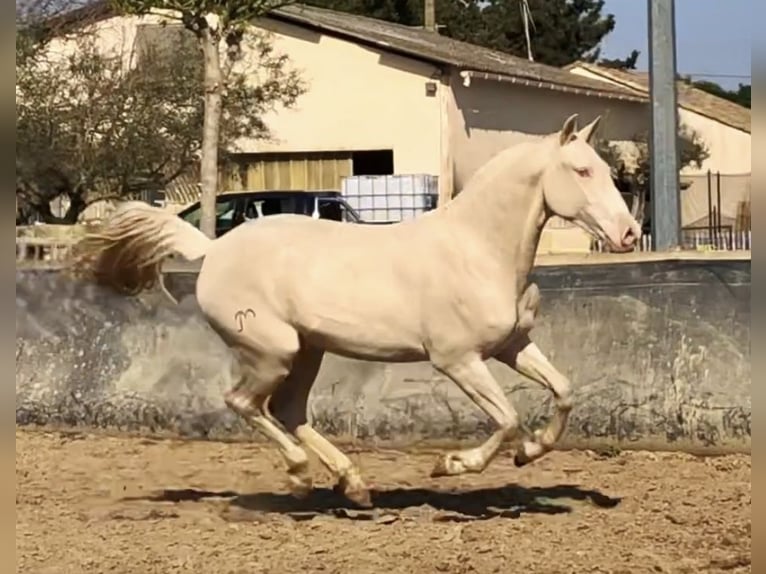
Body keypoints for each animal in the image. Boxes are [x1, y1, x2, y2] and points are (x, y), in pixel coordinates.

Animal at [75, 113, 644, 508]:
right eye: (581, 170)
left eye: (606, 170)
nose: (628, 233)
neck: (478, 248)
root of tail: (212, 249)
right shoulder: (457, 359)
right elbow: (506, 418)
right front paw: (451, 465)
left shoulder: (510, 346)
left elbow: (564, 391)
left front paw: (530, 453)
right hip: (272, 351)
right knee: (244, 403)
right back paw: (302, 475)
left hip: (308, 351)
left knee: (289, 411)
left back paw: (354, 486)